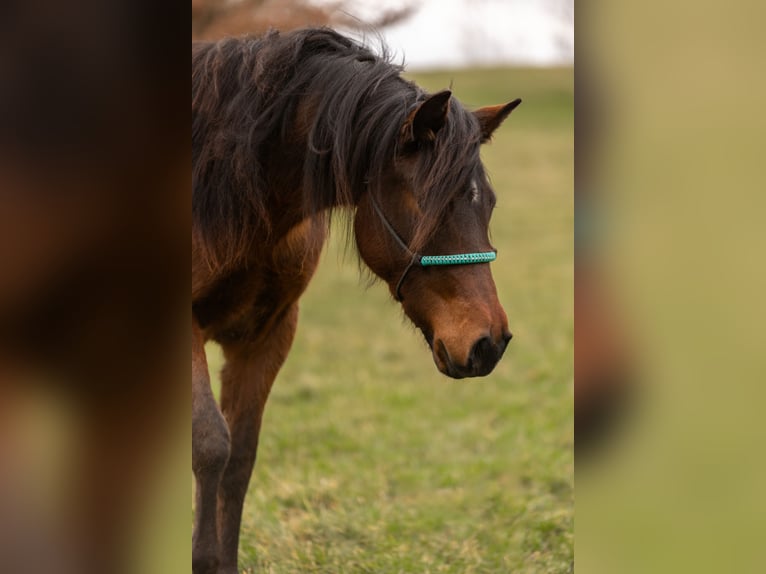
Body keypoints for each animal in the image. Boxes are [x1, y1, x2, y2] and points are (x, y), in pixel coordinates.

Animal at [192, 27, 521, 574]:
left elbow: (239, 458)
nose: (488, 342)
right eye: (429, 205)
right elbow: (210, 445)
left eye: (489, 204)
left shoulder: (267, 334)